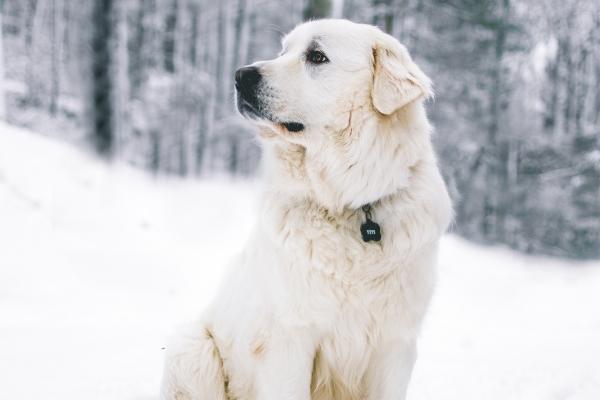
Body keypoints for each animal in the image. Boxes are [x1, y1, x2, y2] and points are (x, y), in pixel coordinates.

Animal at [162, 18, 452, 400]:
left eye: (317, 56)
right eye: (283, 51)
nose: (241, 75)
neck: (349, 203)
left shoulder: (395, 344)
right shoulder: (290, 339)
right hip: (191, 349)